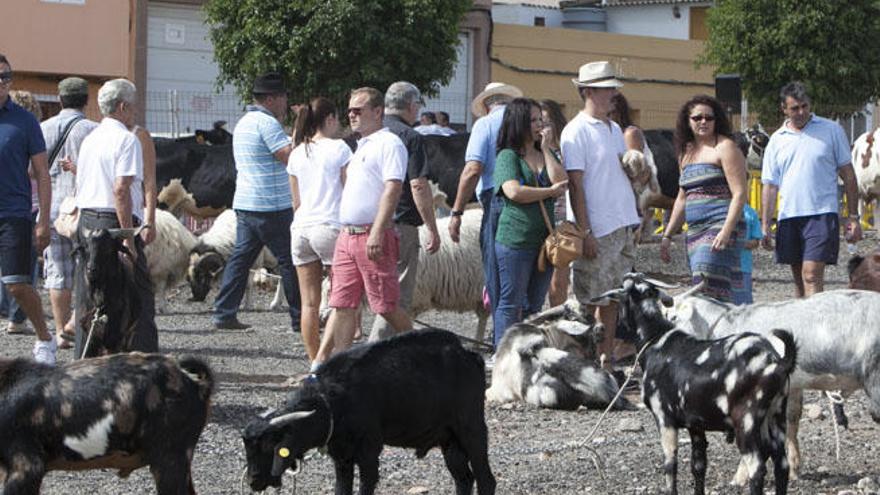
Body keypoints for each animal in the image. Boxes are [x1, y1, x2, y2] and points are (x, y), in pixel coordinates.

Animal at [244, 330, 498, 495]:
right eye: (247, 447)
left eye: (268, 446)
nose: (253, 481)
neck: (333, 401)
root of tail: (470, 356)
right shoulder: (341, 458)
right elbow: (342, 489)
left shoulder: (369, 451)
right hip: (449, 440)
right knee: (464, 479)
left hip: (471, 428)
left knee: (486, 480)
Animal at [600, 276, 796, 495]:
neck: (655, 340)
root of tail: (776, 361)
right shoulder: (695, 424)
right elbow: (699, 466)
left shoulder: (664, 418)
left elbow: (670, 466)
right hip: (776, 416)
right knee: (782, 465)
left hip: (746, 421)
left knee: (757, 468)